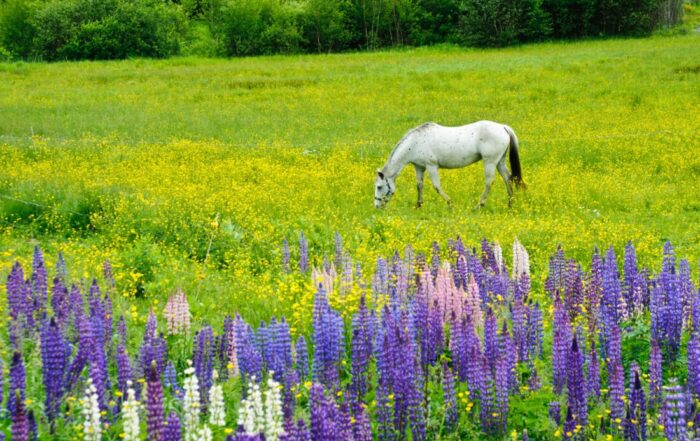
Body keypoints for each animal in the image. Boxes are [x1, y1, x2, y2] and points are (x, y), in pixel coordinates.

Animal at [374, 120, 525, 209]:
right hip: (499, 161)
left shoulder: (431, 166)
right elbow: (419, 186)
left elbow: (437, 186)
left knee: (489, 182)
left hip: (490, 161)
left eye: (379, 187)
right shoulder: (420, 167)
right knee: (508, 178)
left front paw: (450, 204)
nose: (377, 206)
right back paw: (510, 204)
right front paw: (418, 205)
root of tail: (503, 127)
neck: (415, 142)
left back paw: (479, 205)